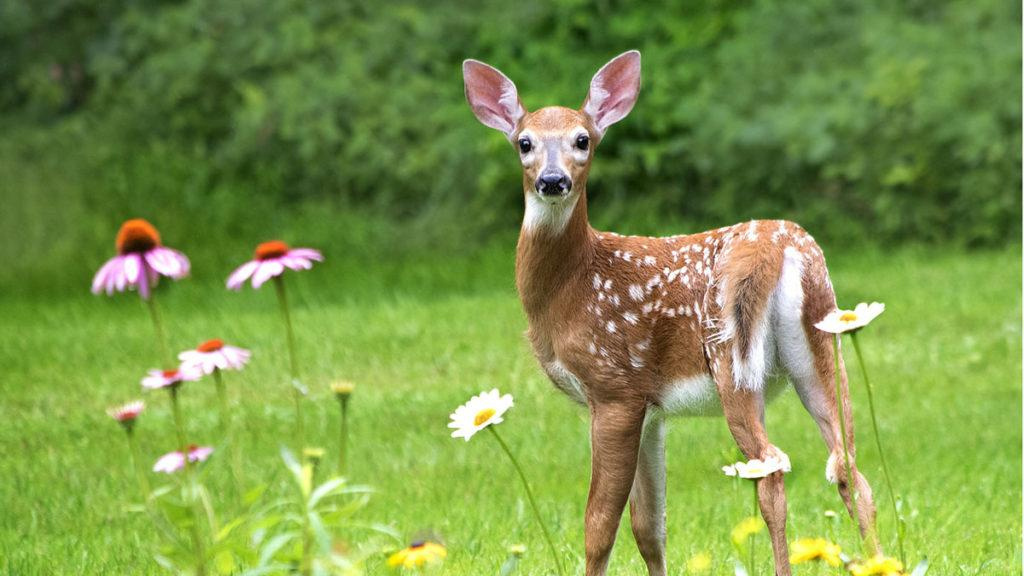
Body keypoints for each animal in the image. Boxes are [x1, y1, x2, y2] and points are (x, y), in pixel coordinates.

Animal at [462, 50, 880, 573]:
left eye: (582, 140)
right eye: (524, 143)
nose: (552, 180)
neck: (571, 288)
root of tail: (779, 249)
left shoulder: (615, 388)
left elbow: (599, 525)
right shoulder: (652, 409)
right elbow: (650, 528)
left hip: (730, 355)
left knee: (772, 469)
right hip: (821, 342)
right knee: (850, 468)